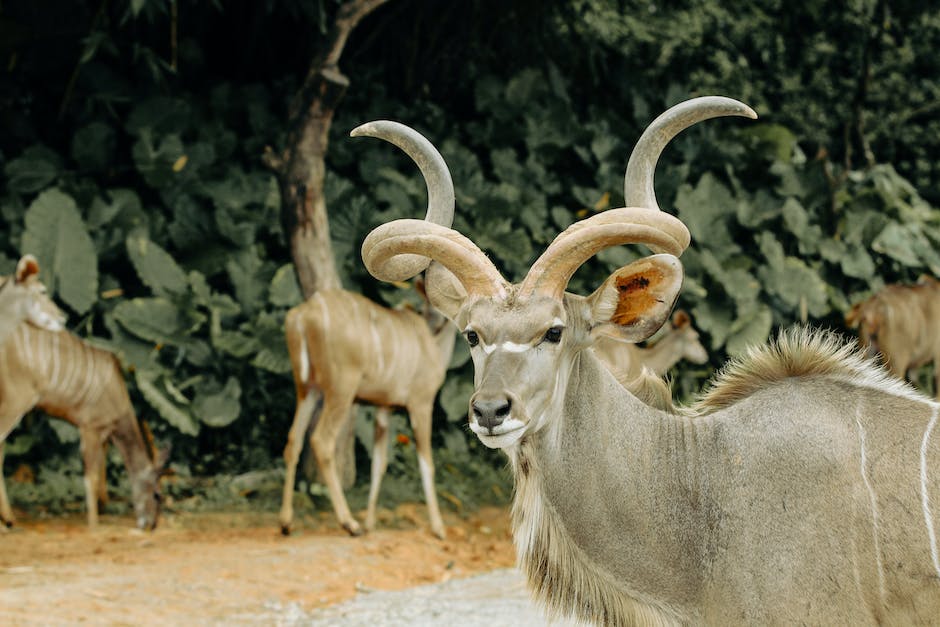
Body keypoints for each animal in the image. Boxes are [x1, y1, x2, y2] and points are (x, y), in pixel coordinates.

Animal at [0, 255, 165, 528]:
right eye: (156, 494)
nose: (150, 525)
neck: (118, 392)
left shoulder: (104, 434)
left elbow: (101, 472)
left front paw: (104, 506)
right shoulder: (89, 427)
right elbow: (90, 476)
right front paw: (93, 524)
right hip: (16, 402)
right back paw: (9, 520)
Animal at [280, 121, 456, 540]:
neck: (430, 339)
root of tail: (304, 315)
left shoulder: (383, 409)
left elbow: (379, 461)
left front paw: (375, 519)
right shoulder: (420, 405)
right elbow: (426, 462)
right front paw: (438, 527)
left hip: (307, 388)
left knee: (292, 441)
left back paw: (287, 522)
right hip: (339, 392)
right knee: (321, 441)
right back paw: (349, 523)